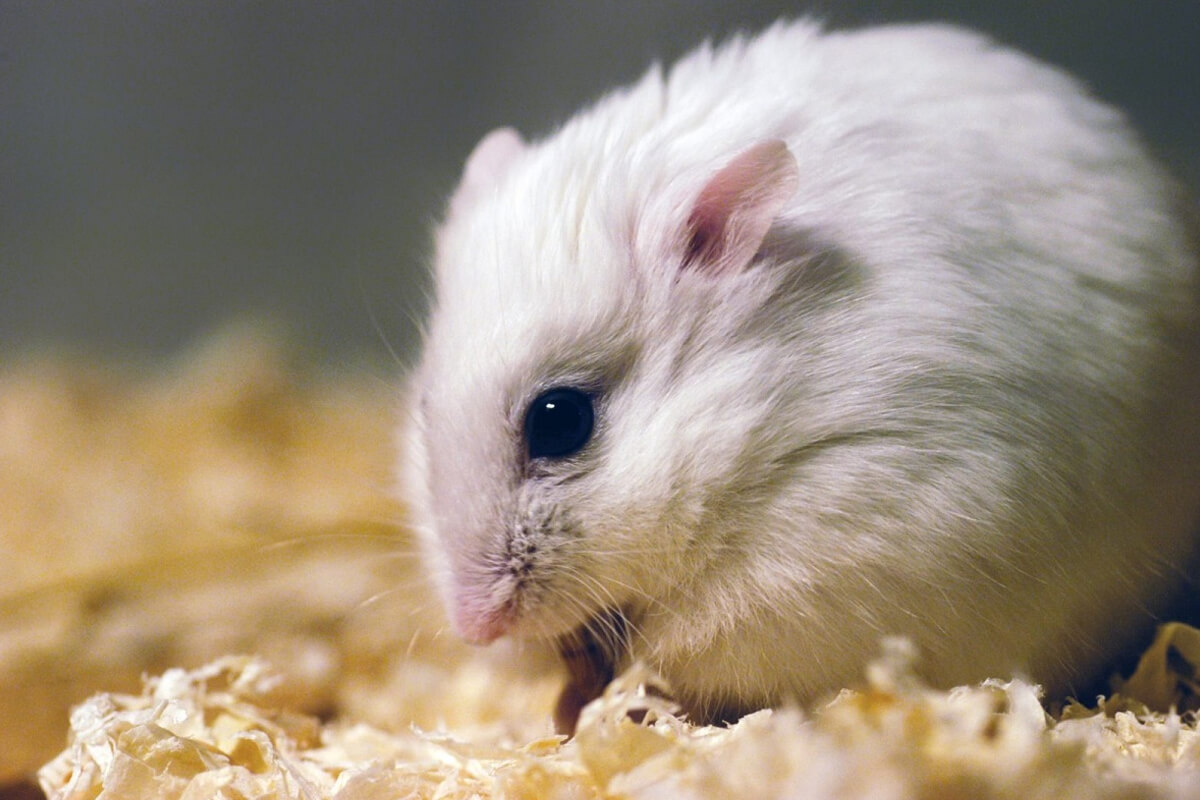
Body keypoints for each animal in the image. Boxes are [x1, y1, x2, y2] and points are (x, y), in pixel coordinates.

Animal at [402, 19, 1200, 729]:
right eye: (423, 408)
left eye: (560, 419)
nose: (473, 628)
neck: (763, 409)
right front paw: (572, 696)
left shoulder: (842, 546)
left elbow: (685, 644)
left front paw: (624, 696)